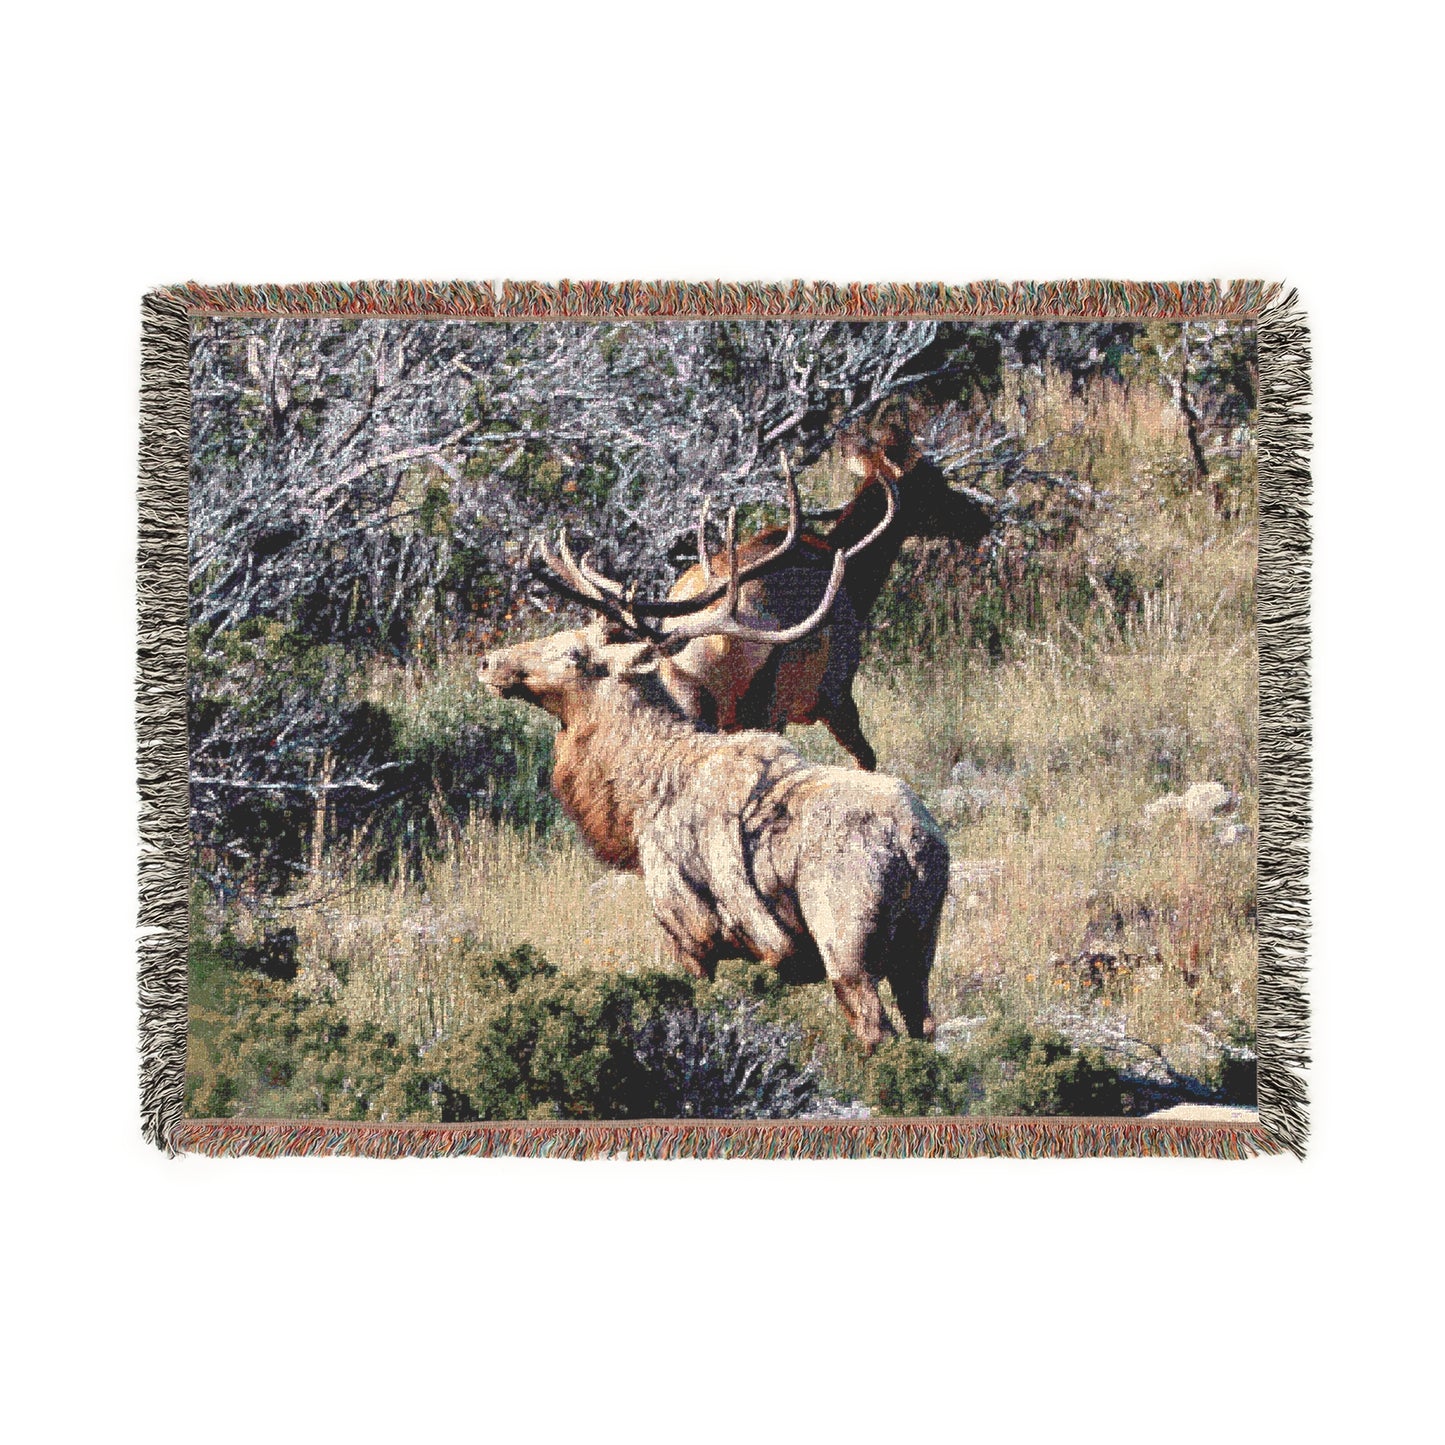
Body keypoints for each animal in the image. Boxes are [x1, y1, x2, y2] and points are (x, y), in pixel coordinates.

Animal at [478, 539, 950, 1048]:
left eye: (572, 652)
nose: (488, 662)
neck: (633, 805)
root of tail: (917, 846)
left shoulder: (689, 930)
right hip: (921, 946)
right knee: (924, 1026)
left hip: (846, 938)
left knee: (877, 1029)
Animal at [532, 422, 994, 771]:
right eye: (935, 481)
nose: (981, 519)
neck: (859, 581)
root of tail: (680, 637)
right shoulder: (835, 694)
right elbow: (868, 760)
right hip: (763, 706)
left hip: (689, 700)